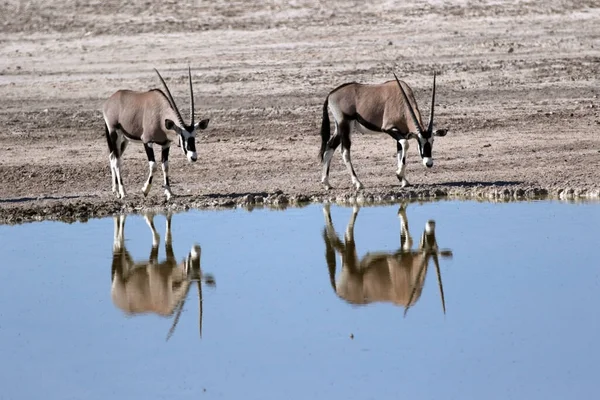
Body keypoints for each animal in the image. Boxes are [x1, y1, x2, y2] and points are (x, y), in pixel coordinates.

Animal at [105, 68, 211, 200]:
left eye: (194, 136)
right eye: (182, 136)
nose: (193, 157)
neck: (160, 115)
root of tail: (111, 99)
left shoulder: (166, 144)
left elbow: (165, 166)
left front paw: (169, 192)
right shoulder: (147, 141)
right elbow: (153, 165)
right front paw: (145, 190)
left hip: (124, 139)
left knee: (112, 156)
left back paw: (115, 190)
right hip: (114, 134)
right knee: (117, 161)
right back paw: (123, 192)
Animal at [111, 212, 217, 340]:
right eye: (189, 270)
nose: (197, 249)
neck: (168, 290)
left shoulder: (170, 261)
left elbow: (168, 236)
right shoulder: (152, 268)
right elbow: (157, 237)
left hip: (129, 265)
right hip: (119, 273)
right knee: (118, 239)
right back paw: (118, 239)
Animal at [322, 205, 452, 314]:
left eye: (435, 244)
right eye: (426, 242)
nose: (431, 223)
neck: (411, 273)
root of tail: (339, 293)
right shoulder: (396, 260)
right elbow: (409, 241)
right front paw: (401, 212)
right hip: (350, 262)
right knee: (346, 234)